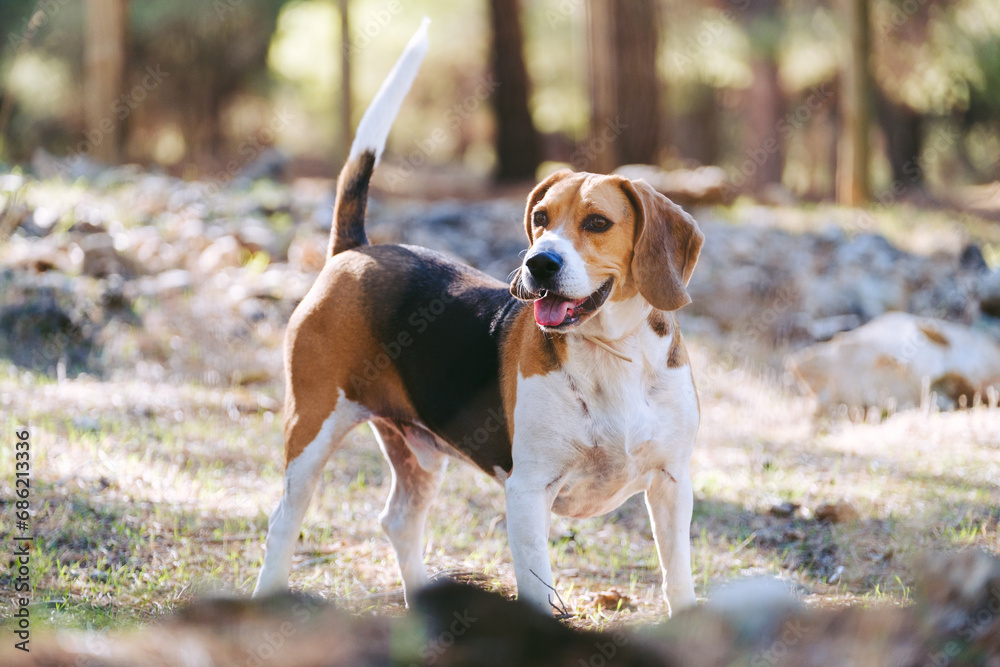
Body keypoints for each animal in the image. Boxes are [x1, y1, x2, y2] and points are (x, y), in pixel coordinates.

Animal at [252, 19, 704, 616]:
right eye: (541, 218)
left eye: (598, 222)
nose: (539, 263)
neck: (613, 354)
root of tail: (357, 251)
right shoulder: (528, 491)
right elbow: (537, 588)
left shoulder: (672, 485)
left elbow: (678, 580)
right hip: (311, 431)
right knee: (284, 521)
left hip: (417, 452)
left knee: (398, 521)